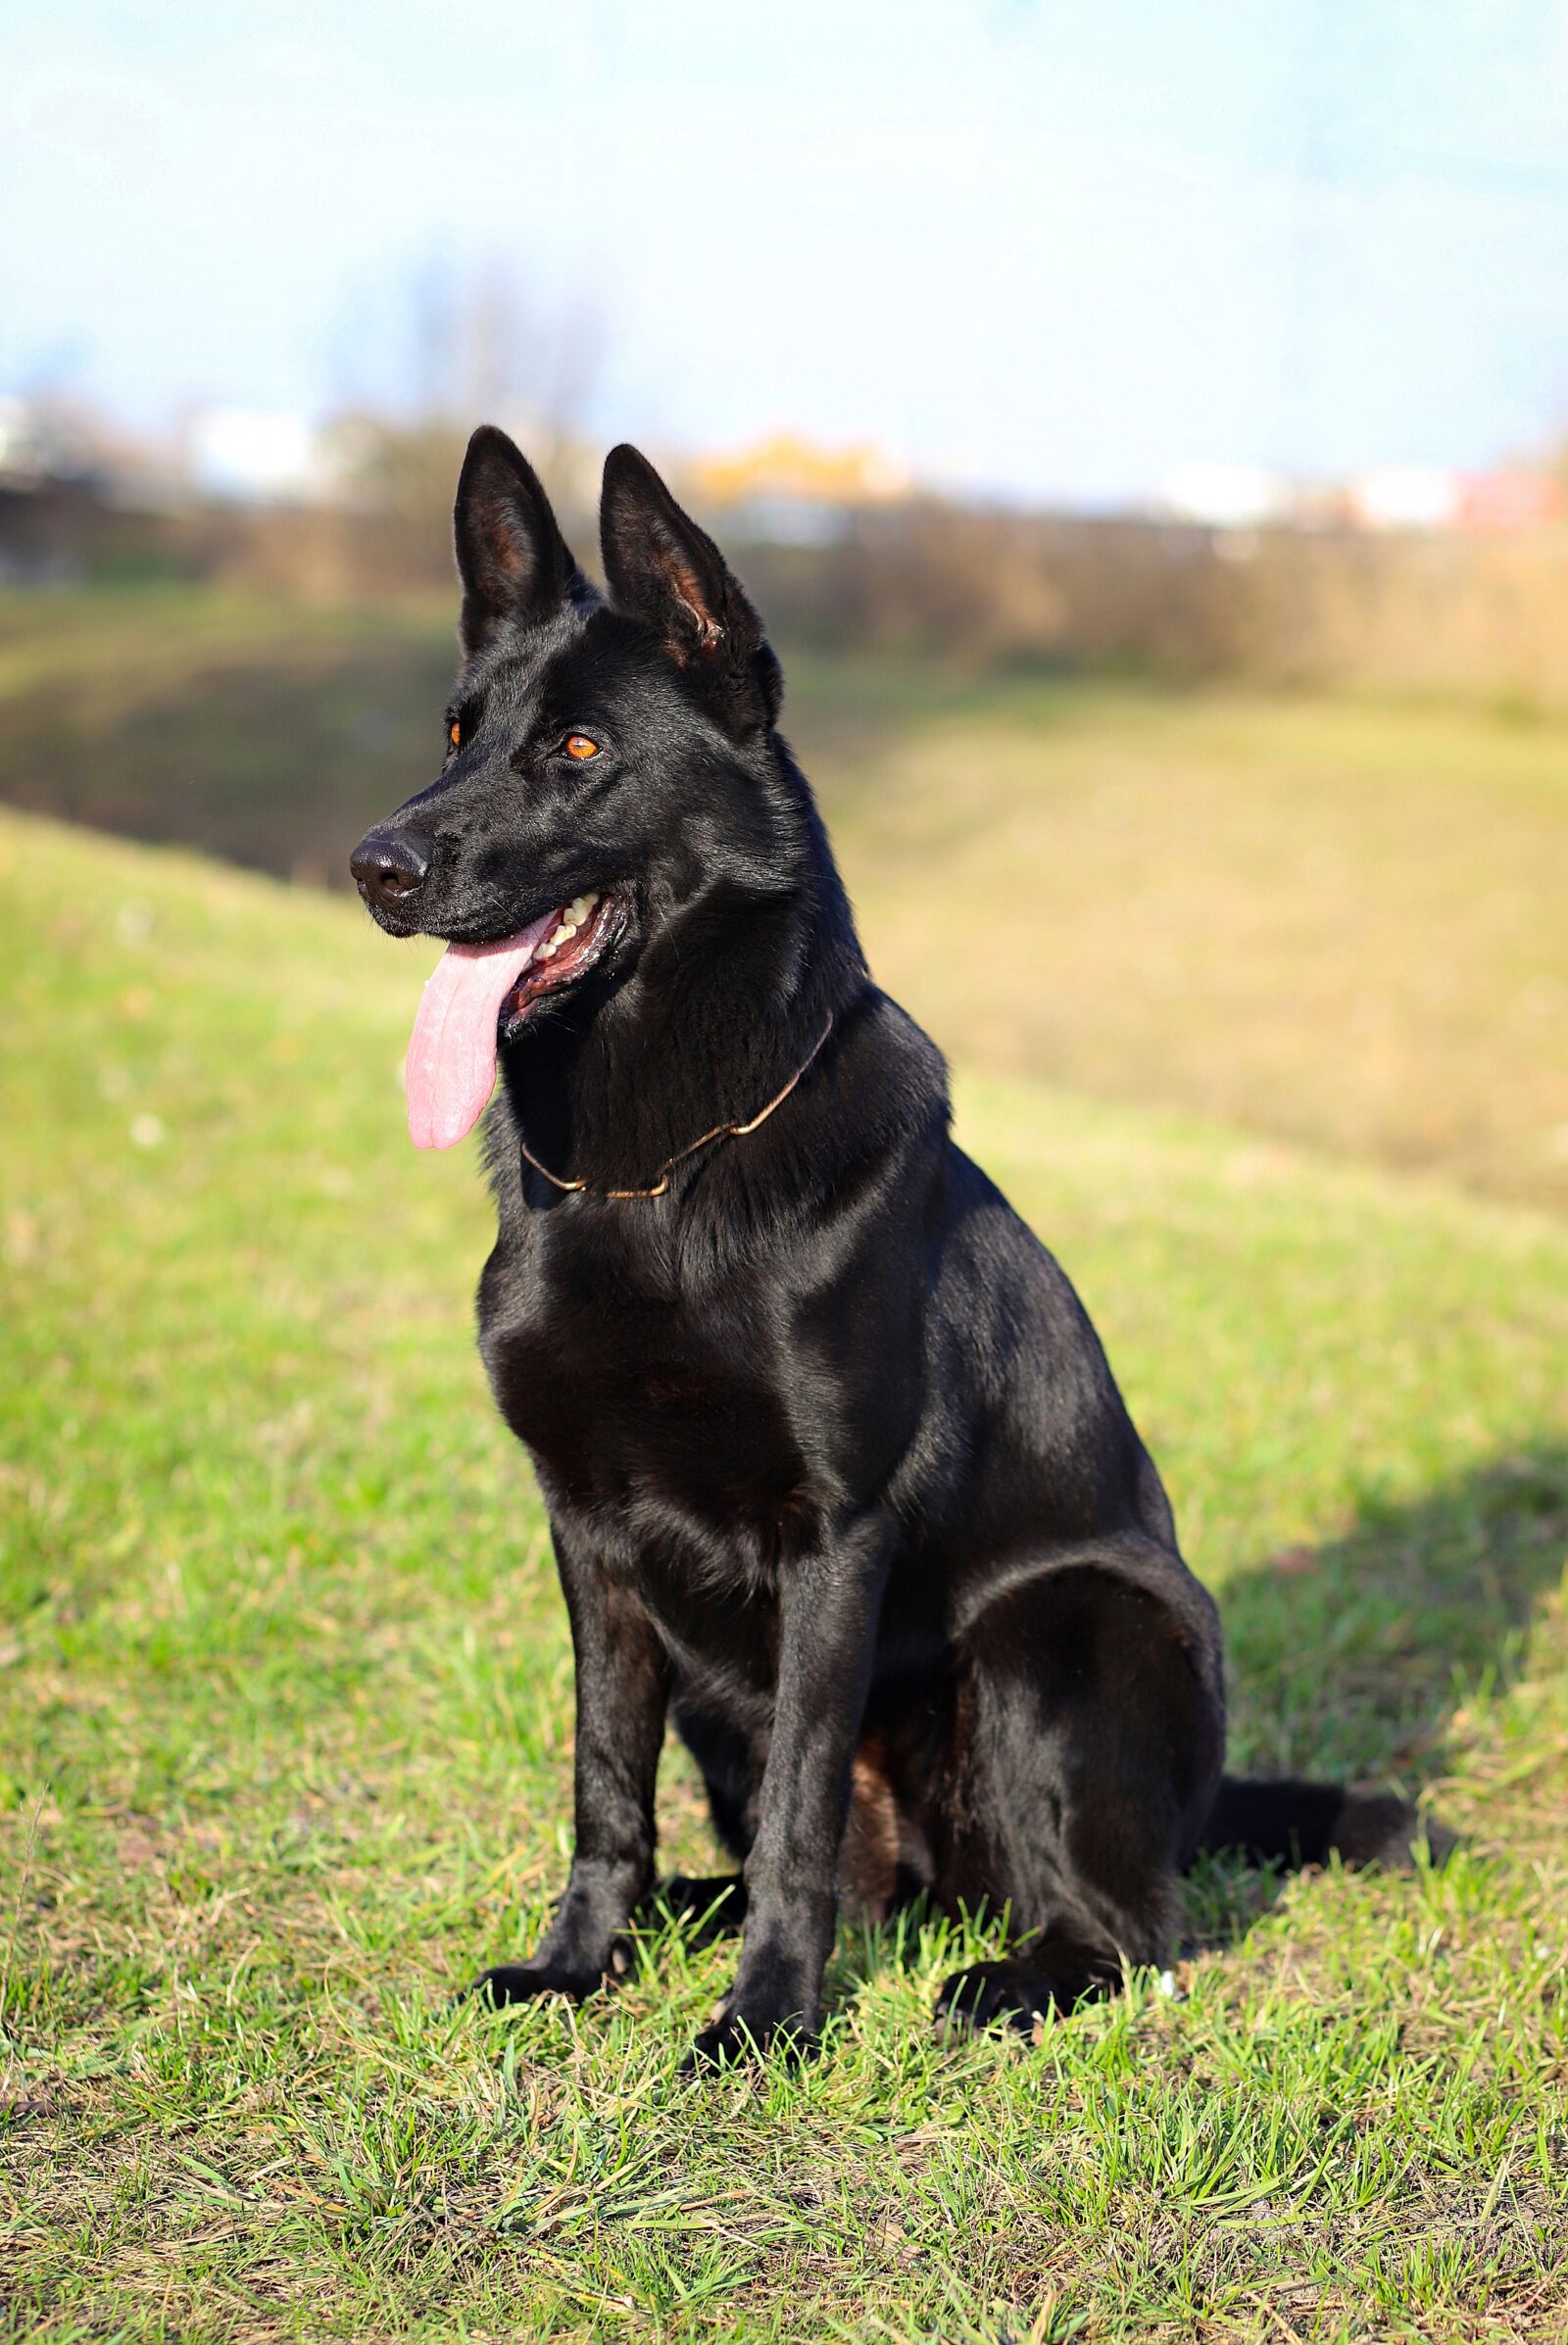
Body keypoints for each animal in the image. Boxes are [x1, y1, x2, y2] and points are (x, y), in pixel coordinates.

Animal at [349, 431, 1425, 2063]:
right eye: (460, 731)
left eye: (581, 750)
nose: (377, 865)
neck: (653, 1176)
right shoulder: (587, 1534)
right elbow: (604, 1781)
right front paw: (578, 1961)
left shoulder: (831, 1537)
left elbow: (800, 1813)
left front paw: (766, 2022)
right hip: (723, 1684)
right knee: (847, 1873)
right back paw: (700, 1921)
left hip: (1060, 1633)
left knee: (1127, 1931)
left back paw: (998, 1980)